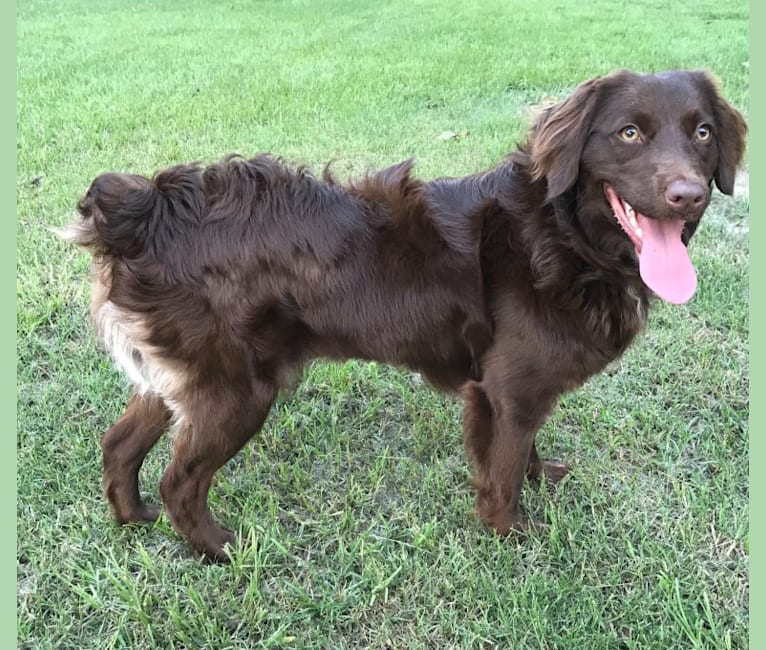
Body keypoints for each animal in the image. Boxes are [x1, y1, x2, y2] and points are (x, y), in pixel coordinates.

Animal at [61, 69, 752, 556]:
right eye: (629, 133)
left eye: (702, 133)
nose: (687, 194)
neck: (559, 237)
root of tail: (148, 210)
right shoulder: (510, 388)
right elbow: (502, 470)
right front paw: (511, 535)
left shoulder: (511, 389)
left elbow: (521, 450)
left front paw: (538, 479)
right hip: (237, 388)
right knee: (180, 480)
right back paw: (218, 548)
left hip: (180, 378)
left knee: (118, 445)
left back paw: (134, 519)